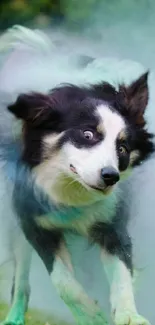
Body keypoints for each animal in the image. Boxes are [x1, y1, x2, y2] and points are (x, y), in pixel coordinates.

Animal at [0, 26, 154, 324]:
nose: (110, 176)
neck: (72, 191)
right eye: (88, 134)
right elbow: (62, 280)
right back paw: (13, 316)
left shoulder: (111, 219)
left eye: (122, 148)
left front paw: (129, 316)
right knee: (21, 276)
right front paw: (90, 315)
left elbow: (121, 272)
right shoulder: (33, 221)